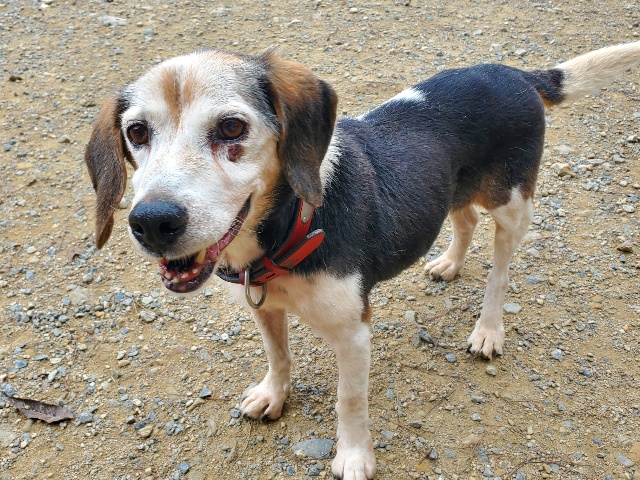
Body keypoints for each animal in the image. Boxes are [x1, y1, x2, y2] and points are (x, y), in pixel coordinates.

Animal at [85, 42, 640, 479]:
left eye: (231, 127)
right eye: (137, 133)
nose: (153, 221)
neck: (293, 224)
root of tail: (517, 75)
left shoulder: (353, 334)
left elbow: (349, 401)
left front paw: (353, 457)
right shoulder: (264, 306)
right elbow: (278, 356)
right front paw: (273, 394)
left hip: (513, 204)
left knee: (501, 271)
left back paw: (488, 329)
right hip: (452, 191)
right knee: (464, 221)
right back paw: (448, 263)